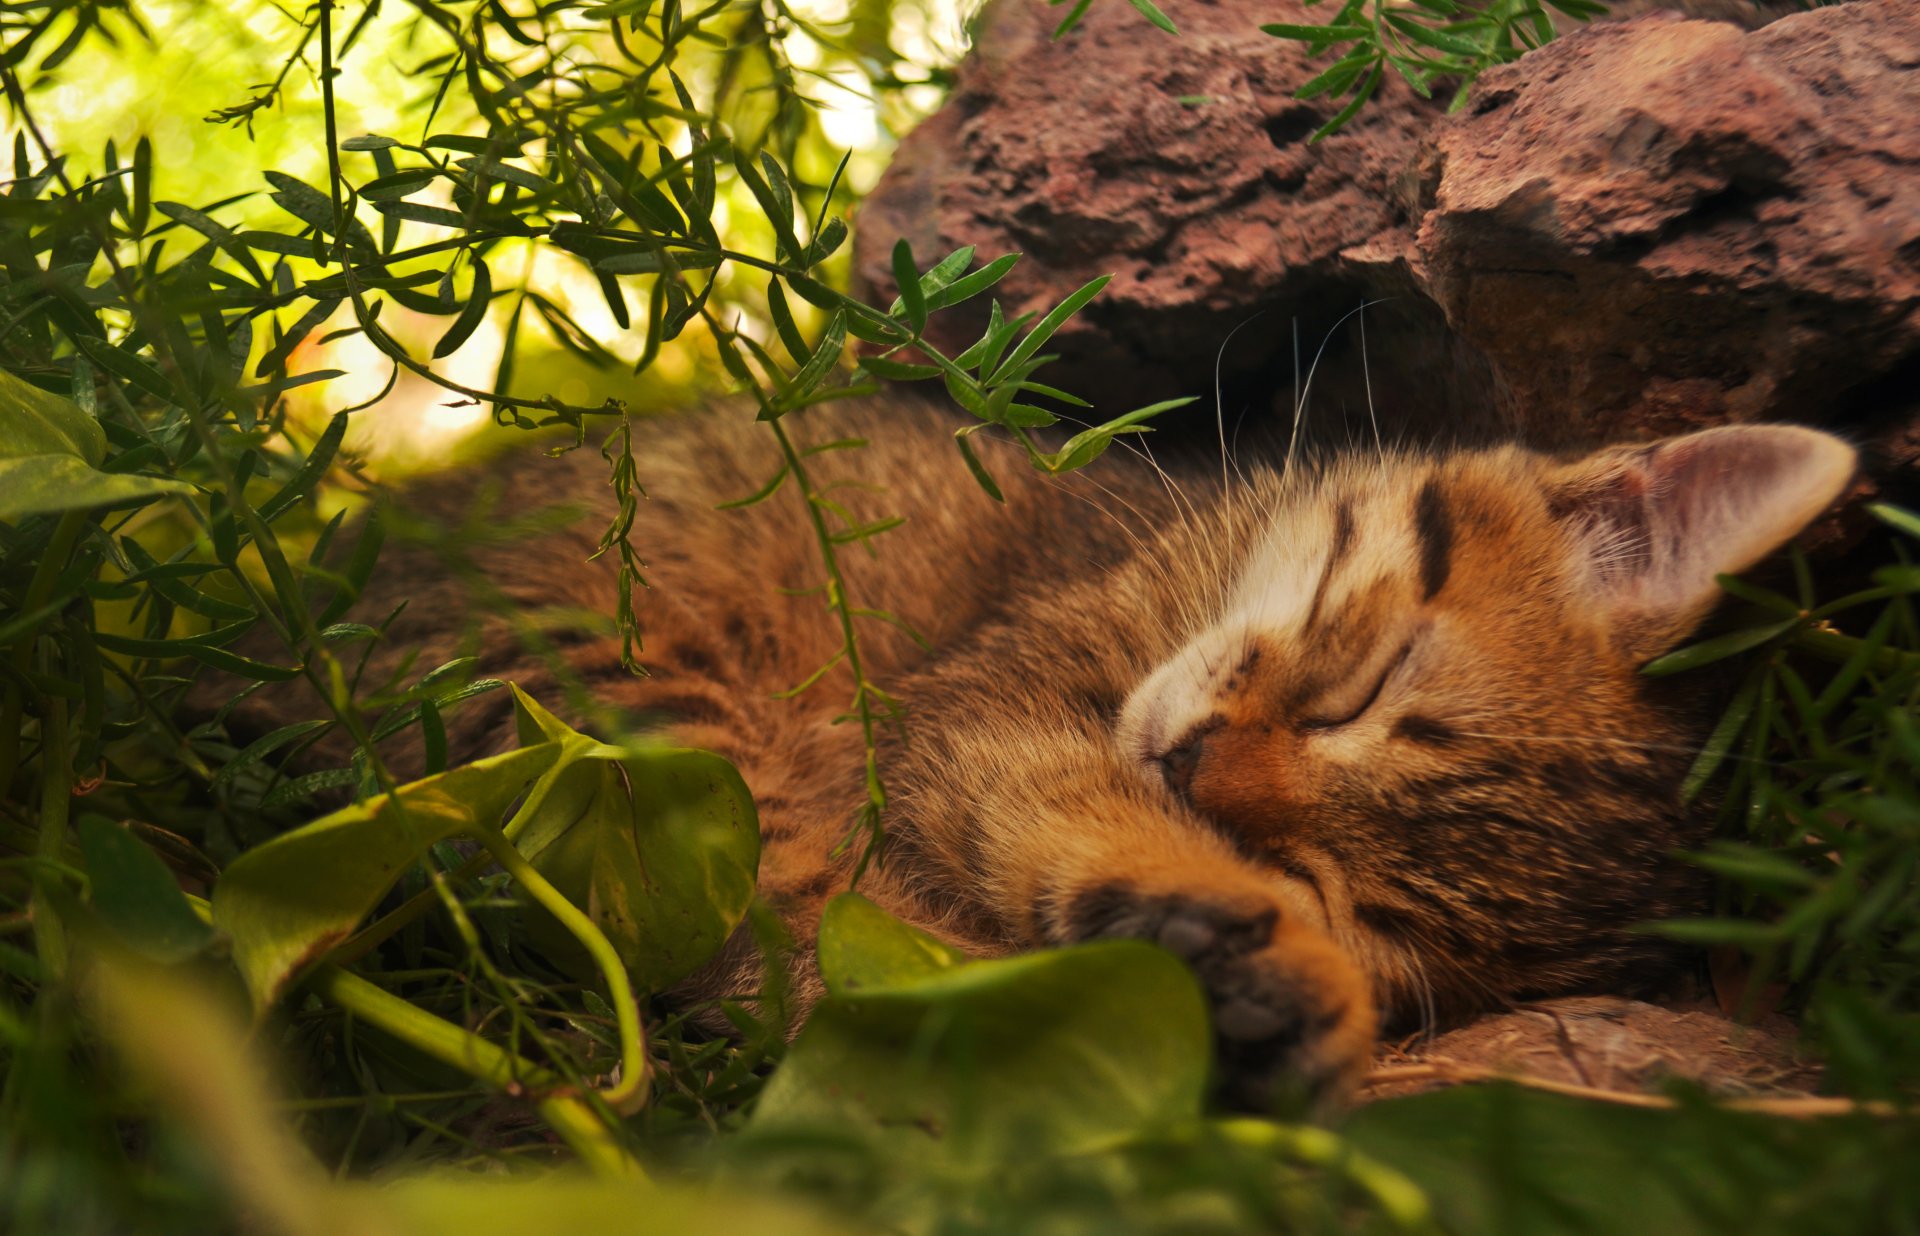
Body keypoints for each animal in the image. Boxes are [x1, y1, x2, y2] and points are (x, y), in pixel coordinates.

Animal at [224, 401, 1858, 1105]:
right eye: (1369, 686)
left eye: (1353, 896)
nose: (1195, 778)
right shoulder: (981, 709)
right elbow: (1051, 804)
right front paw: (1251, 956)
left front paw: (1267, 967)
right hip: (620, 702)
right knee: (774, 931)